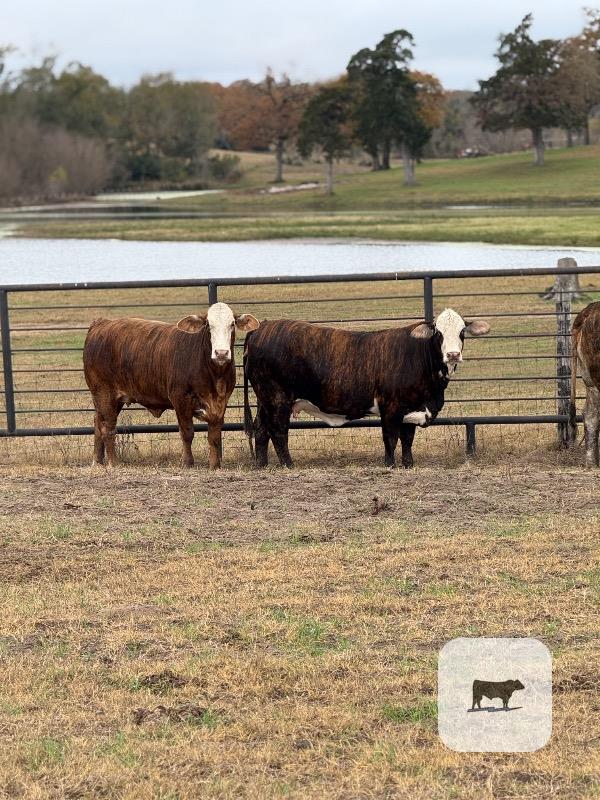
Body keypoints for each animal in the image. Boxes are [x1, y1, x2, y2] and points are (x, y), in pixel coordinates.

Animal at [83, 302, 259, 469]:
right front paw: (187, 462)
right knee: (108, 428)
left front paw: (215, 465)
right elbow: (187, 432)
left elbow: (214, 436)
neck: (214, 374)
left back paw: (97, 461)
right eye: (208, 325)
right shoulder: (180, 399)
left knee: (98, 424)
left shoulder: (221, 402)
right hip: (105, 394)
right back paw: (113, 462)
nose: (221, 353)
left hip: (106, 399)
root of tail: (101, 324)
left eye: (232, 324)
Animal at [243, 308, 490, 468]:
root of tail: (262, 327)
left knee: (261, 429)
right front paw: (390, 465)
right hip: (277, 399)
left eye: (462, 332)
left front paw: (408, 465)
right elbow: (390, 439)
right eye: (438, 332)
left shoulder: (411, 407)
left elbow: (407, 440)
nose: (453, 354)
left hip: (265, 399)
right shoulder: (390, 408)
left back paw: (262, 466)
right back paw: (288, 465)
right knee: (278, 431)